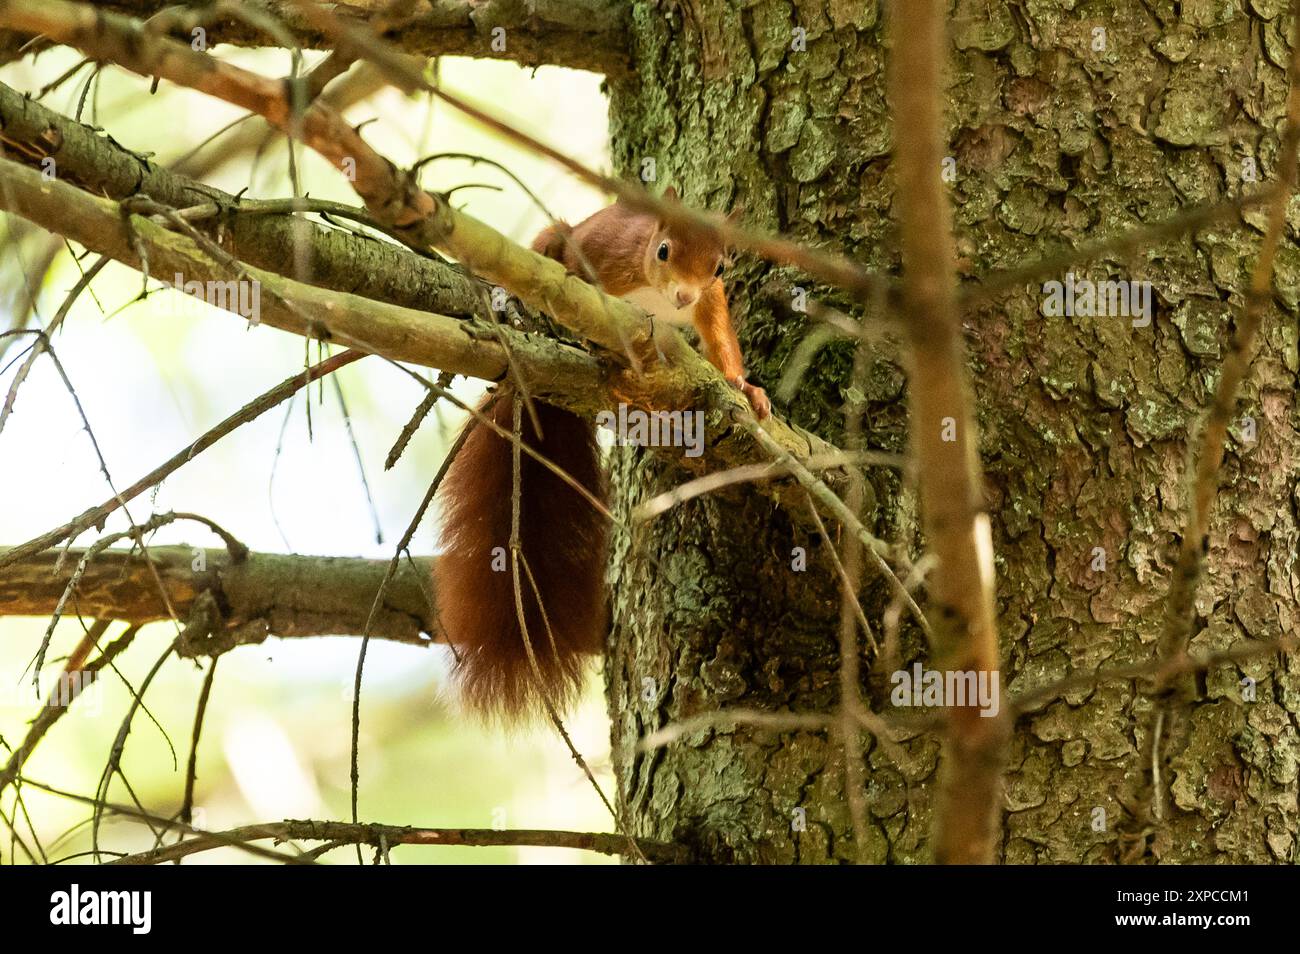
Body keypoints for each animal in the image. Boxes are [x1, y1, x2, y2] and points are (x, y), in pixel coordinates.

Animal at [435, 187, 770, 720]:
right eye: (663, 251)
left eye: (720, 265)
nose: (683, 296)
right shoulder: (602, 257)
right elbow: (576, 276)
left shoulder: (711, 300)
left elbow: (721, 342)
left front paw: (746, 388)